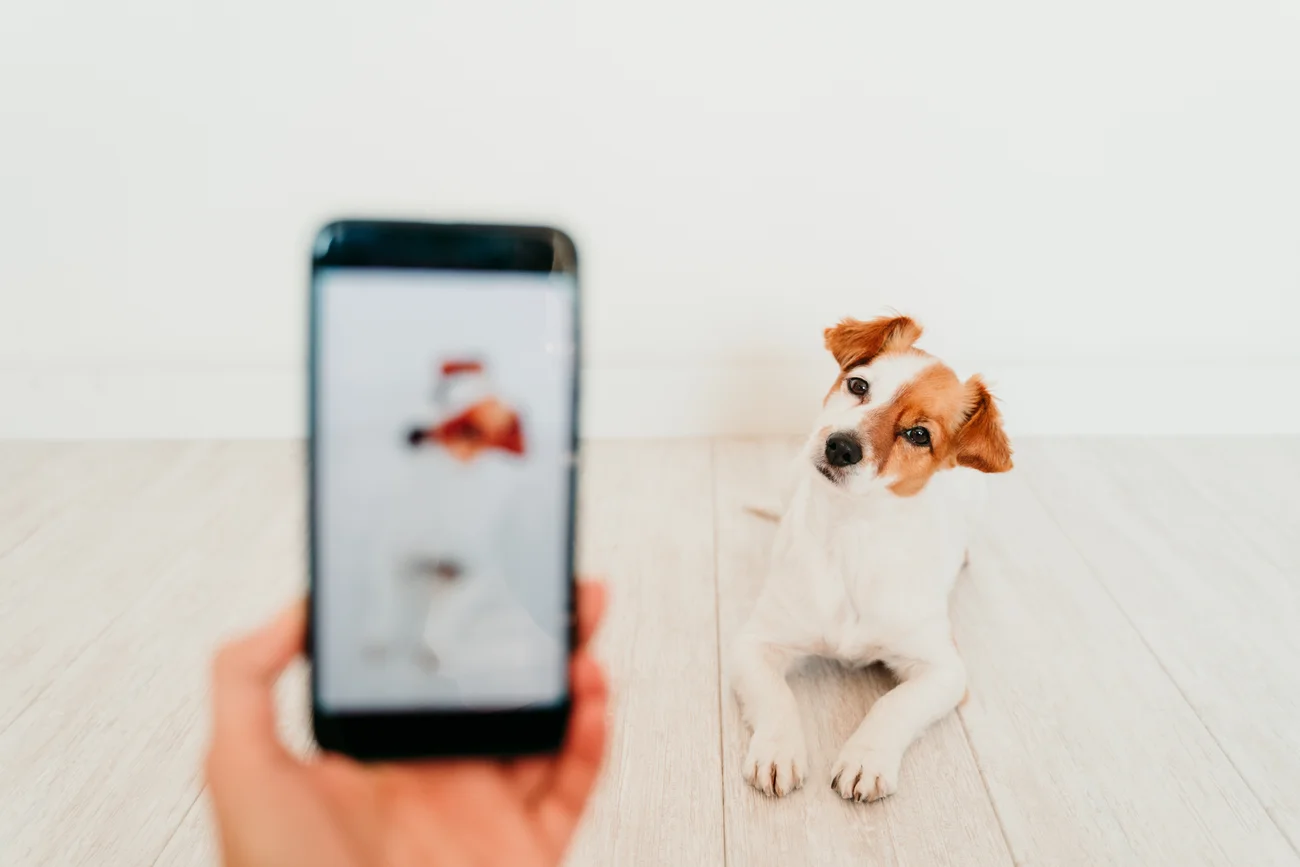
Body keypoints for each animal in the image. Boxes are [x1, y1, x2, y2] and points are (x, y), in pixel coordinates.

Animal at [733, 315, 1013, 805]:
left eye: (919, 434)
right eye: (858, 385)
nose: (840, 447)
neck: (850, 535)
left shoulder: (944, 671)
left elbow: (893, 704)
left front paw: (865, 758)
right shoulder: (755, 644)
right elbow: (776, 697)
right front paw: (777, 749)